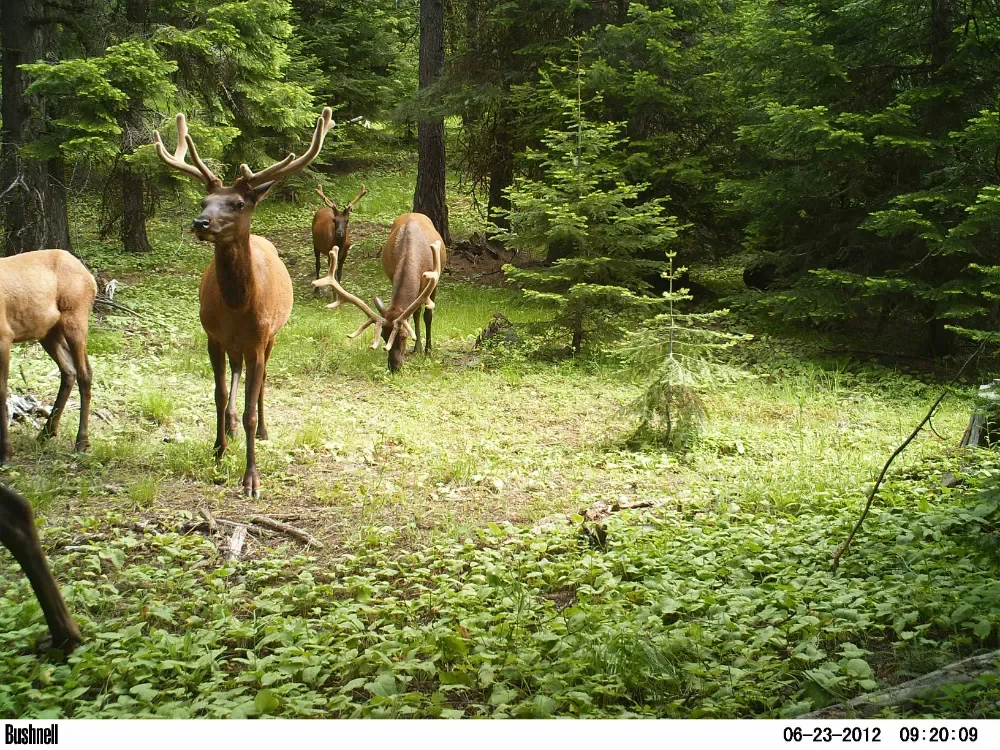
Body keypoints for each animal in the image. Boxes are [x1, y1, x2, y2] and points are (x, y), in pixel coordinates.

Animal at [0, 249, 97, 465]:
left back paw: (81, 442)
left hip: (75, 317)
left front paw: (6, 453)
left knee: (85, 373)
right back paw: (46, 433)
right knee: (69, 370)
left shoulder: (4, 336)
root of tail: (91, 278)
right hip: (48, 331)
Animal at [153, 107, 334, 497]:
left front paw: (251, 477)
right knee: (236, 375)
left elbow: (253, 401)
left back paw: (262, 430)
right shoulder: (213, 336)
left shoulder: (258, 339)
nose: (200, 222)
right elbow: (219, 394)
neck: (237, 307)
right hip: (235, 345)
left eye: (238, 203)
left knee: (262, 382)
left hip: (272, 337)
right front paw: (218, 449)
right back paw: (231, 426)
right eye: (203, 202)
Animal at [313, 212, 445, 372]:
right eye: (383, 335)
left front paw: (428, 350)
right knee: (416, 313)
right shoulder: (392, 275)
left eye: (404, 335)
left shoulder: (433, 281)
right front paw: (417, 347)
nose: (394, 367)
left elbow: (428, 316)